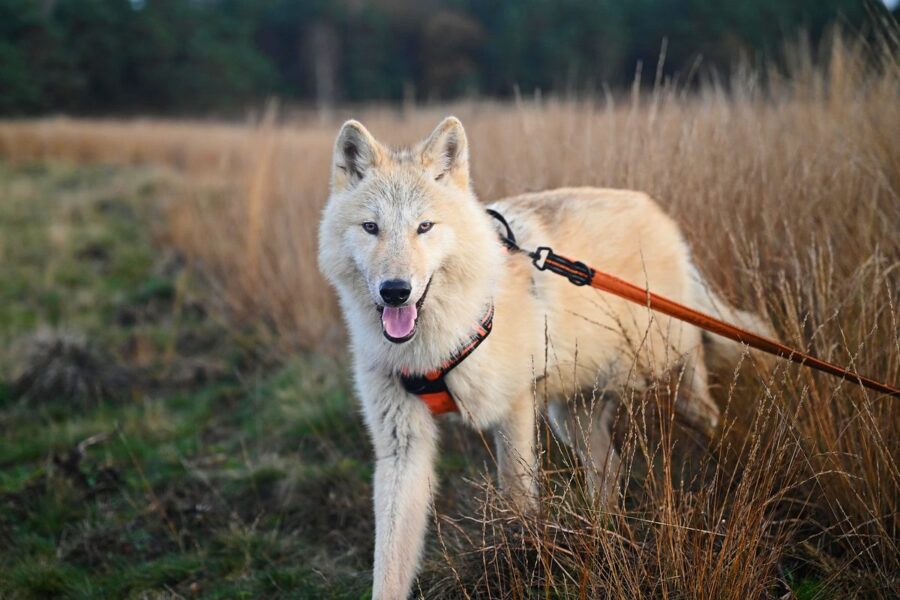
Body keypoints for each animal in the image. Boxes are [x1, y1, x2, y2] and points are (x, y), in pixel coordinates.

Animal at [318, 115, 772, 596]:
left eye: (424, 227)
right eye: (371, 228)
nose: (395, 291)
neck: (433, 348)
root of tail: (660, 216)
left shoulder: (514, 411)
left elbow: (517, 503)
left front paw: (521, 566)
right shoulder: (401, 446)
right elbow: (390, 563)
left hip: (667, 377)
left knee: (707, 414)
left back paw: (731, 464)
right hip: (573, 418)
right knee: (610, 468)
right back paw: (603, 537)